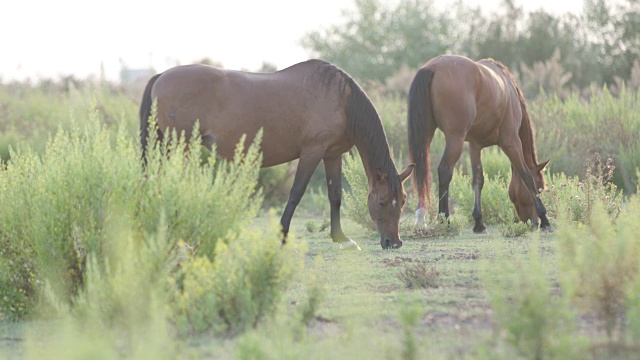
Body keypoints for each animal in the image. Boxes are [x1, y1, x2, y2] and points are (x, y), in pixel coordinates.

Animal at [140, 59, 416, 250]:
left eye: (403, 201)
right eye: (382, 202)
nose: (394, 242)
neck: (341, 100)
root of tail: (161, 76)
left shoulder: (332, 155)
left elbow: (335, 195)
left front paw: (341, 238)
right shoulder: (312, 152)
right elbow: (296, 193)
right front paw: (282, 235)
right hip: (181, 146)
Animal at [408, 54, 552, 232]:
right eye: (541, 187)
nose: (532, 222)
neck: (509, 90)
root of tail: (432, 67)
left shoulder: (474, 145)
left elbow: (478, 179)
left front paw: (478, 222)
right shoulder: (511, 141)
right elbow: (526, 175)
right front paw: (545, 218)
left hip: (427, 135)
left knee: (422, 173)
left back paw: (422, 218)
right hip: (455, 138)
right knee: (444, 170)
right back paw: (444, 220)